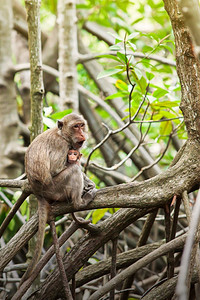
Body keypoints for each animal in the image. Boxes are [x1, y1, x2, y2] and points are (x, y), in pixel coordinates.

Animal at [20, 113, 92, 286]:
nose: (82, 134)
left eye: (82, 125)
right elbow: (56, 169)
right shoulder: (61, 146)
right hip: (54, 189)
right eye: (75, 126)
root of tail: (38, 193)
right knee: (73, 170)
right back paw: (80, 202)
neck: (62, 135)